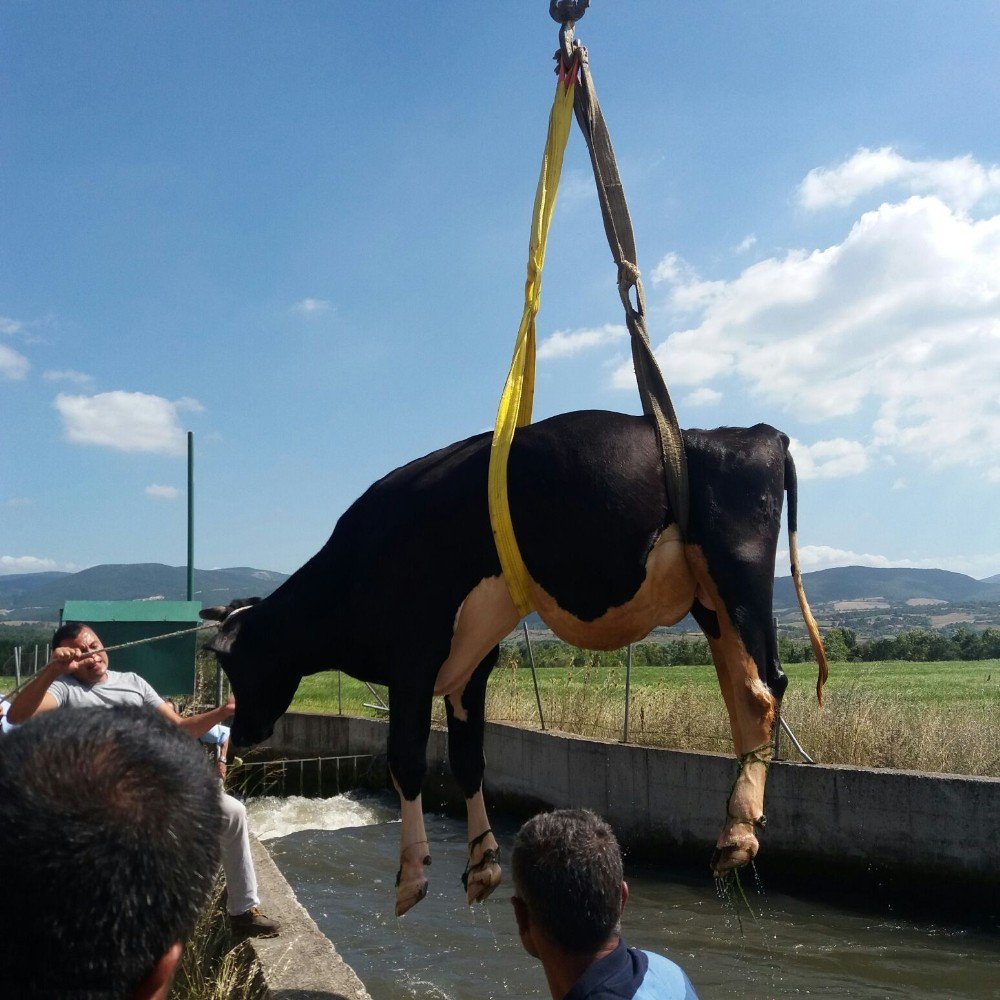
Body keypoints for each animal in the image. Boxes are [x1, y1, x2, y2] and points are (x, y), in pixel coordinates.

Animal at [203, 404, 828, 916]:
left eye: (235, 663)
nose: (242, 731)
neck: (352, 573)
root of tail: (756, 434)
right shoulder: (469, 665)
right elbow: (468, 759)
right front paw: (482, 864)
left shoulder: (413, 658)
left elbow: (406, 759)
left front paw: (412, 875)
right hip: (711, 599)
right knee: (753, 686)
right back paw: (734, 831)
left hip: (736, 574)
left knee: (759, 691)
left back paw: (740, 833)